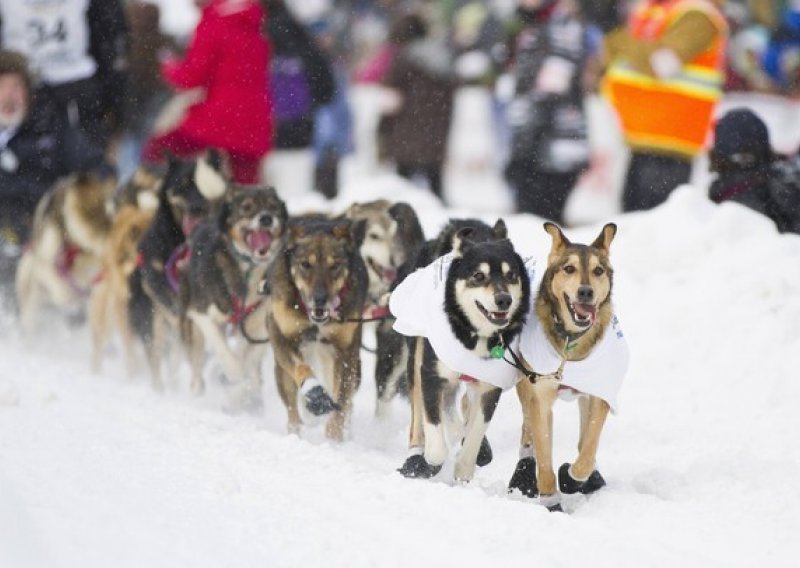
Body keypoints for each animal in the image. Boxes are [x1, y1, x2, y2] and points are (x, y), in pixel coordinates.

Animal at [390, 224, 528, 482]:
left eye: (511, 275)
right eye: (479, 276)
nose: (504, 299)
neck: (475, 335)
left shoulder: (490, 387)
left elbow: (475, 432)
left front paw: (465, 467)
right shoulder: (431, 374)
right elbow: (435, 436)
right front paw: (433, 459)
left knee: (463, 404)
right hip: (416, 360)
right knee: (420, 414)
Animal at [510, 222, 628, 510]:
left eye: (598, 270)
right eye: (569, 268)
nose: (585, 292)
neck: (571, 340)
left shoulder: (599, 393)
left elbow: (587, 448)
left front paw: (573, 477)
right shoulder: (540, 396)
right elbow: (544, 456)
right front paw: (550, 499)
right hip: (525, 384)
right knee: (527, 429)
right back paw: (523, 473)